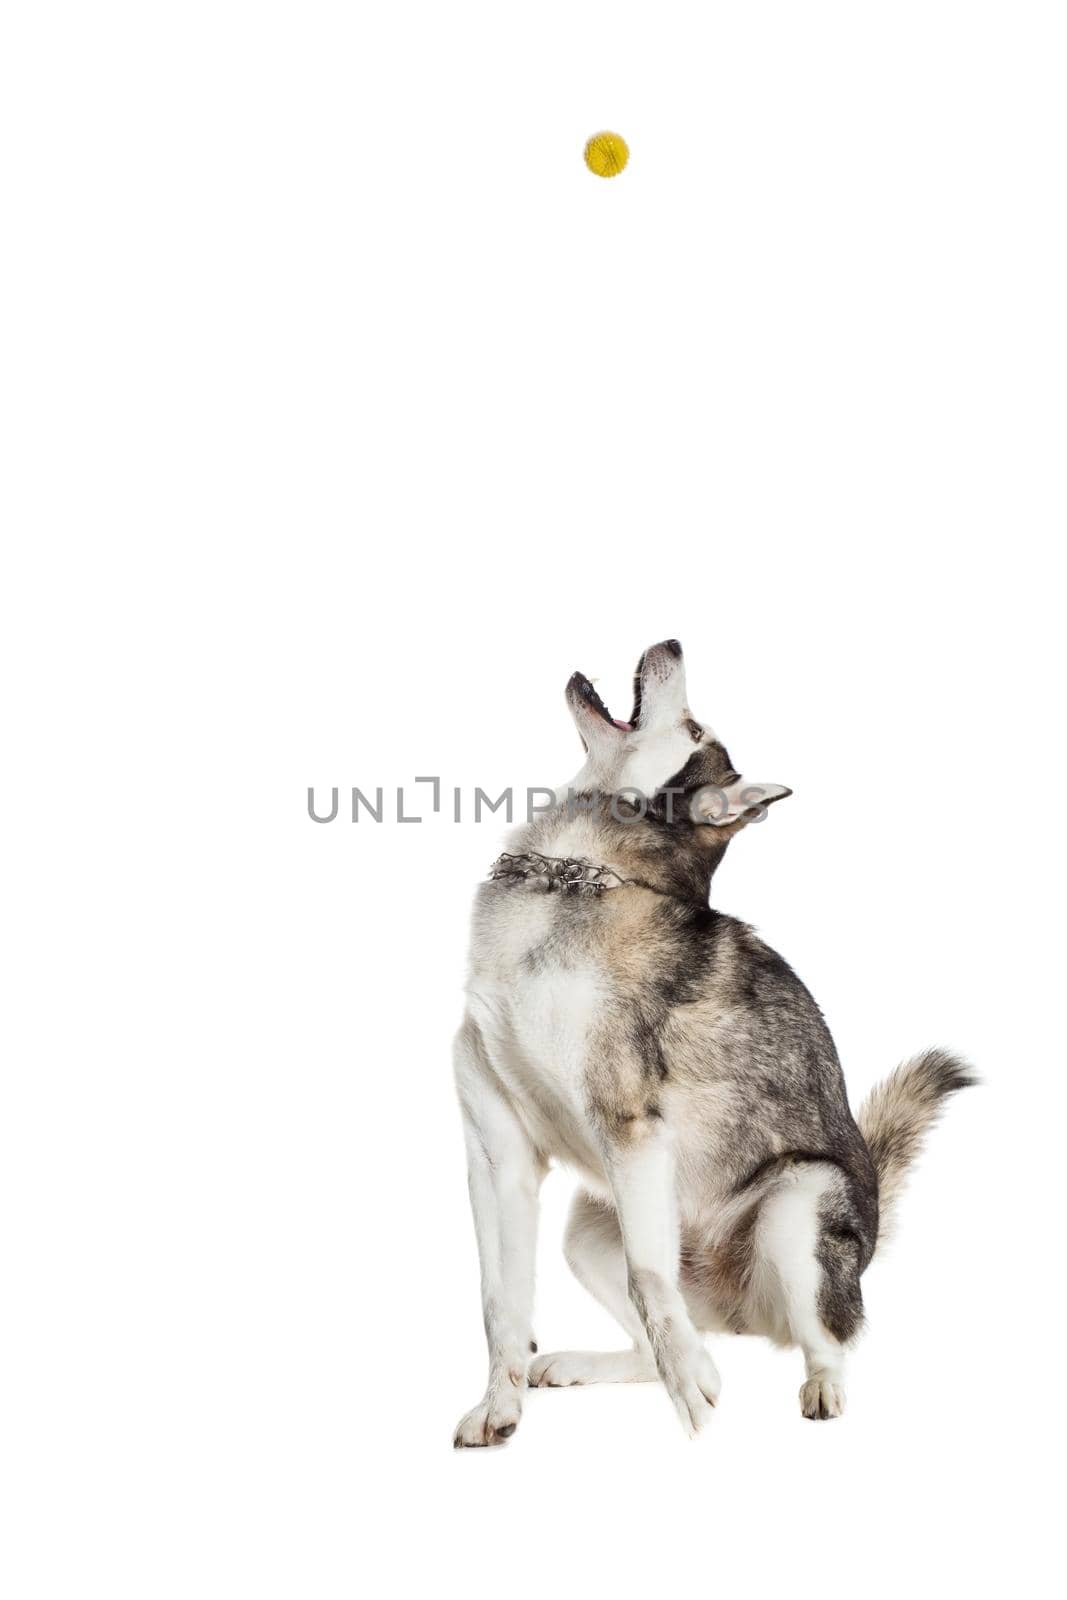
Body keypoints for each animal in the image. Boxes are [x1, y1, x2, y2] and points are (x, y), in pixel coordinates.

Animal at [447, 640, 966, 1452]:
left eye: (693, 729)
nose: (671, 645)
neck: (569, 882)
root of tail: (741, 1311)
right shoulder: (495, 1147)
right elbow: (498, 1299)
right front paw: (498, 1408)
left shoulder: (630, 1129)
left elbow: (648, 1278)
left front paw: (688, 1391)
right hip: (587, 1228)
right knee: (677, 1336)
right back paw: (596, 1363)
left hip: (796, 1207)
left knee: (829, 1338)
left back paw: (815, 1384)